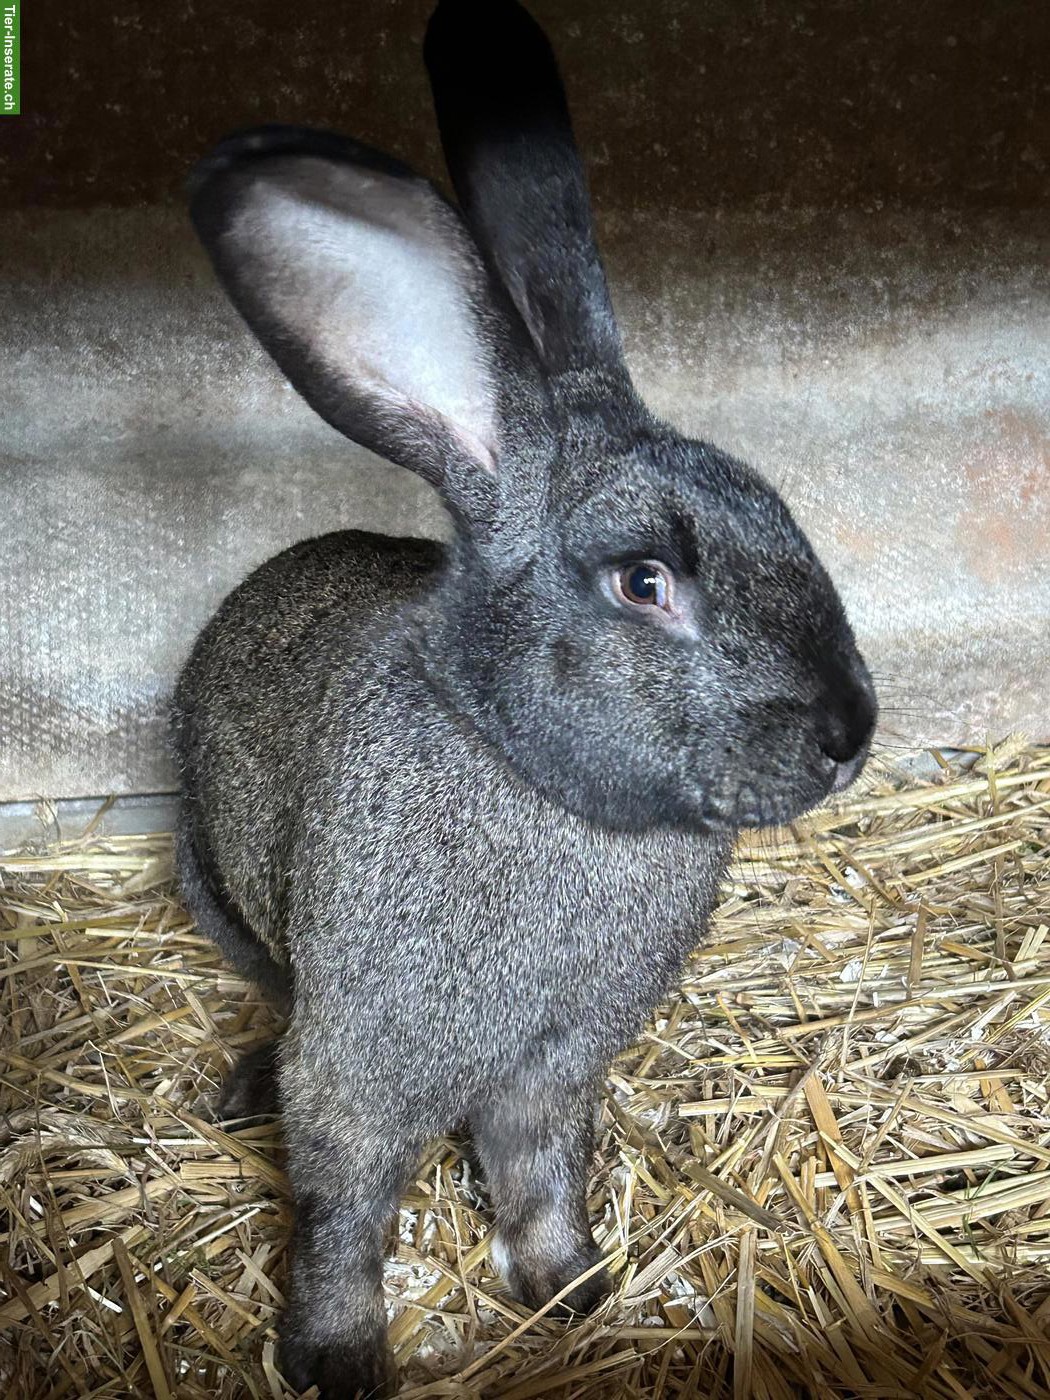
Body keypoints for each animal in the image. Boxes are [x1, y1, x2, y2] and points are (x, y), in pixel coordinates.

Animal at [171, 0, 877, 1394]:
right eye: (646, 580)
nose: (850, 732)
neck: (527, 772)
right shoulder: (361, 1068)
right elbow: (344, 1214)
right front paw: (337, 1357)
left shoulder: (553, 1069)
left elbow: (539, 1173)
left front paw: (570, 1287)